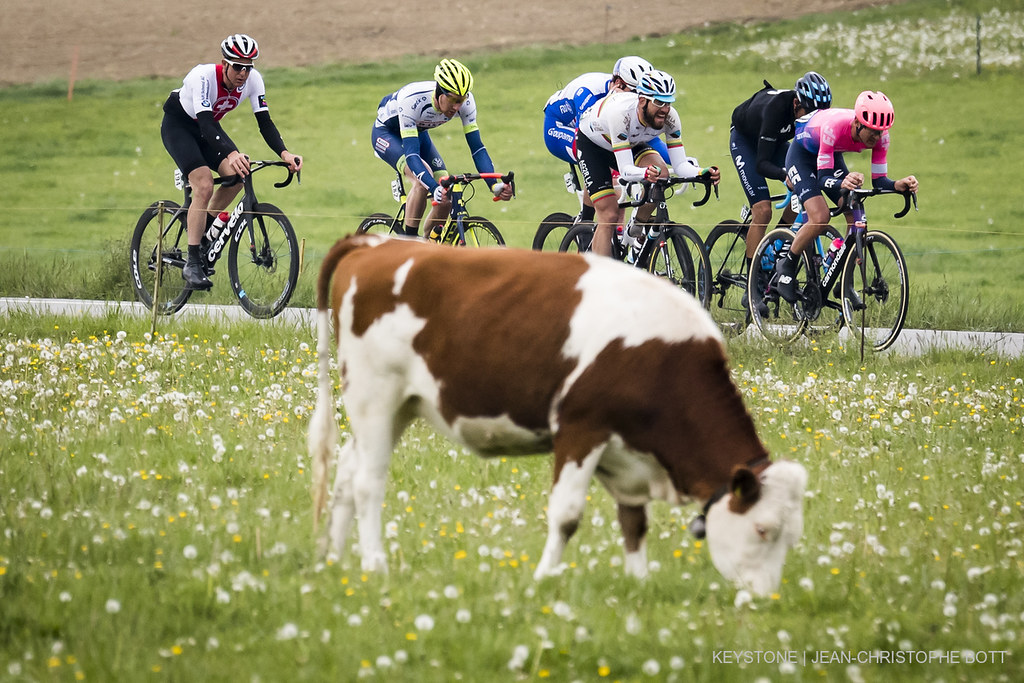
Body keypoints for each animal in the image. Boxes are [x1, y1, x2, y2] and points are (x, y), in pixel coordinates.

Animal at [307, 232, 802, 593]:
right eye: (763, 530)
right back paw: (374, 563)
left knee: (348, 471)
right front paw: (544, 578)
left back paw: (336, 558)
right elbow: (566, 516)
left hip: (395, 407)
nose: (764, 596)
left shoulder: (629, 450)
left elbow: (634, 522)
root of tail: (375, 244)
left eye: (791, 537)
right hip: (374, 394)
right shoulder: (582, 429)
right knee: (368, 481)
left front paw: (639, 584)